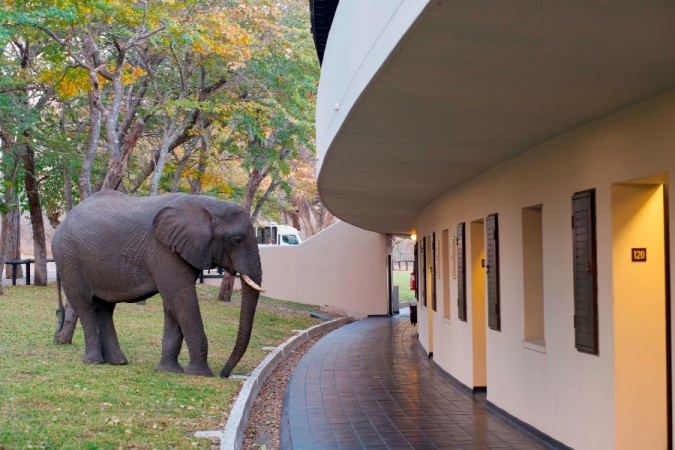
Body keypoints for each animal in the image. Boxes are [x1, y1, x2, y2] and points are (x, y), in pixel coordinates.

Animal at [51, 192, 262, 378]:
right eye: (237, 240)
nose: (224, 375)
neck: (204, 205)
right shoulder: (164, 250)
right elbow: (181, 300)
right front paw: (200, 374)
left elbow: (172, 304)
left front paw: (168, 371)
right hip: (68, 258)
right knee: (85, 305)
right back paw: (94, 361)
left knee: (105, 308)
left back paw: (118, 362)